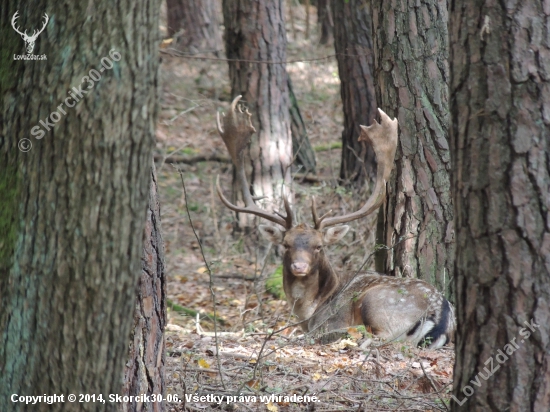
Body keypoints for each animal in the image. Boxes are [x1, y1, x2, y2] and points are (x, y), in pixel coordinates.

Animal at [216, 96, 458, 348]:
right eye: (286, 244)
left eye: (319, 246)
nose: (299, 266)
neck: (310, 311)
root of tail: (440, 316)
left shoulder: (329, 320)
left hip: (377, 303)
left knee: (377, 338)